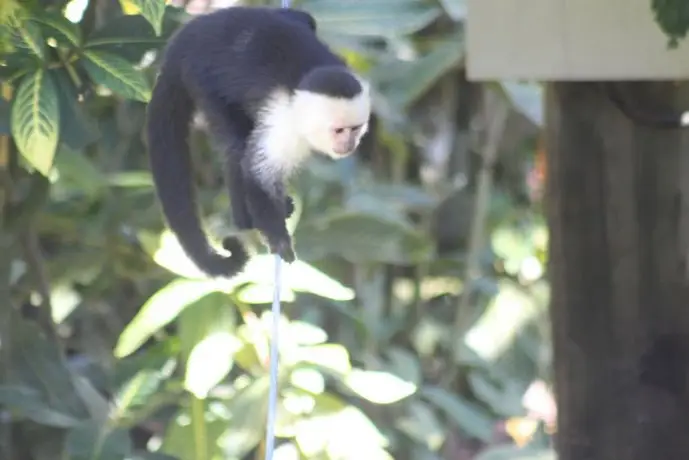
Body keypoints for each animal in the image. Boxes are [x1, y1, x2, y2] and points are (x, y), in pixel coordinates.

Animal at [144, 7, 370, 278]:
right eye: (339, 131)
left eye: (355, 129)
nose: (349, 145)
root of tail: (183, 39)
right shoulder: (285, 124)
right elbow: (257, 174)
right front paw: (279, 241)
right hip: (201, 77)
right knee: (237, 145)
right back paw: (244, 219)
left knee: (302, 17)